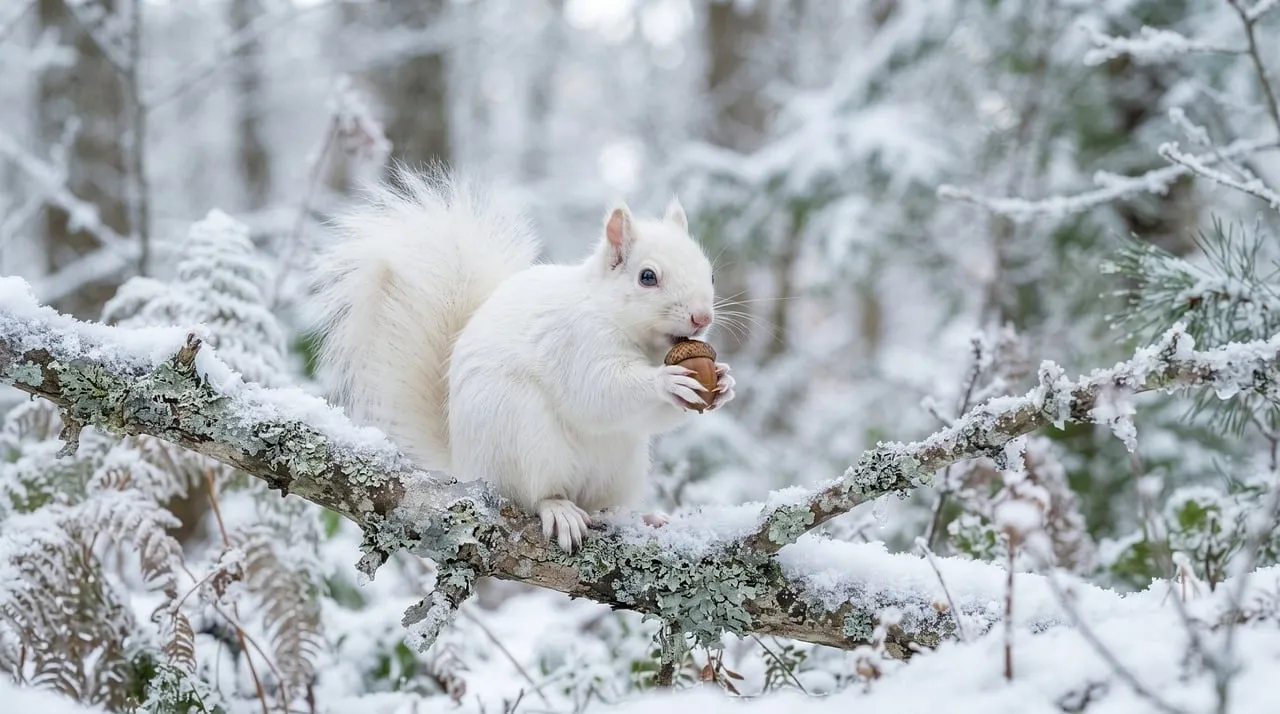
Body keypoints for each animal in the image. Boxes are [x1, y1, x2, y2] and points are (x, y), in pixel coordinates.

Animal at [307, 166, 734, 552]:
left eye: (711, 275)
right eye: (647, 277)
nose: (702, 318)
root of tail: (466, 466)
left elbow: (655, 417)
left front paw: (725, 381)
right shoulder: (574, 341)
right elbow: (598, 392)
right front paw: (666, 381)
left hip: (623, 468)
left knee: (604, 505)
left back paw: (642, 518)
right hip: (523, 439)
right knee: (536, 495)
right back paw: (559, 509)